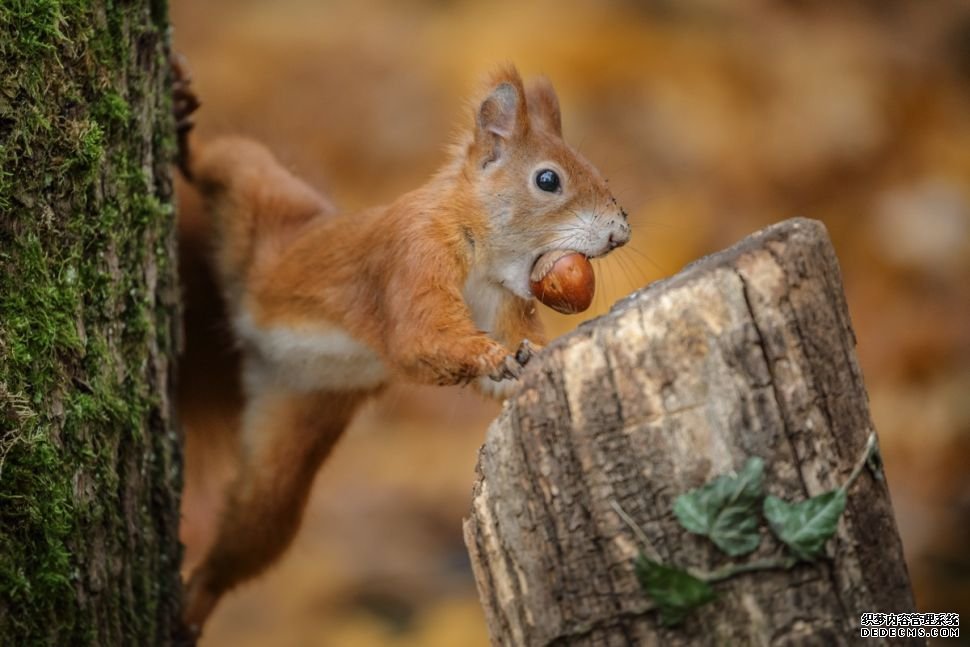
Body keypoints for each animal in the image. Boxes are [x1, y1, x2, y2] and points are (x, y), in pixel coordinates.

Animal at [172, 58, 628, 636]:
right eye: (548, 180)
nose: (620, 233)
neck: (481, 253)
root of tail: (247, 337)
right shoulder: (412, 256)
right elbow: (418, 337)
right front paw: (496, 357)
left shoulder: (500, 302)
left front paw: (528, 361)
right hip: (265, 197)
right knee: (224, 159)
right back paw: (181, 116)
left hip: (294, 433)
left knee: (250, 533)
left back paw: (197, 602)